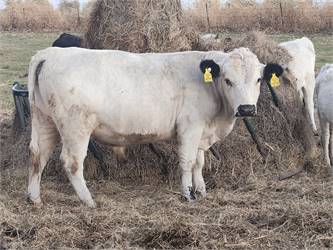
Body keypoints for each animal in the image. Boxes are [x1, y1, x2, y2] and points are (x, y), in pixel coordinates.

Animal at [27, 47, 282, 207]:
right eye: (228, 80)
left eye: (259, 79)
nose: (246, 109)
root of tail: (49, 53)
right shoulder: (190, 127)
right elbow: (188, 162)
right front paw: (188, 194)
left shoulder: (202, 132)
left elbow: (199, 163)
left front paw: (202, 191)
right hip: (75, 126)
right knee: (71, 162)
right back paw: (89, 201)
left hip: (43, 120)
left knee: (38, 155)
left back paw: (34, 198)